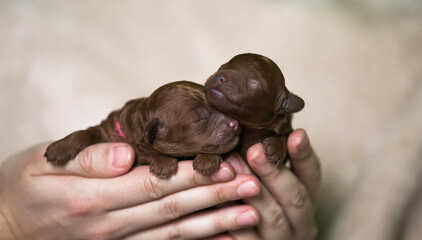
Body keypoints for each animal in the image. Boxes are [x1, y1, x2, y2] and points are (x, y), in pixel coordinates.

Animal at [45, 80, 241, 178]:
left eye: (218, 106)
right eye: (200, 118)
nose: (236, 123)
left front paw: (207, 159)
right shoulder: (109, 129)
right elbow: (86, 132)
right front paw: (60, 147)